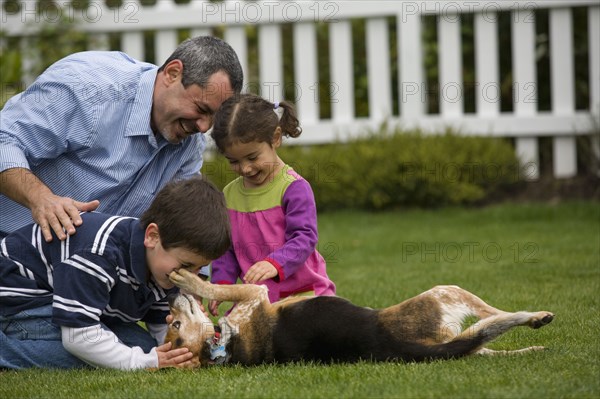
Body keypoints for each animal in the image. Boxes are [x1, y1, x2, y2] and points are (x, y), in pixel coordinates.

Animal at [164, 268, 552, 368]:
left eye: (174, 325)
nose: (170, 305)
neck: (226, 346)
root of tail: (397, 346)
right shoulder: (254, 295)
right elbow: (218, 288)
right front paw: (191, 280)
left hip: (450, 330)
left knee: (485, 344)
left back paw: (533, 348)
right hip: (444, 293)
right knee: (494, 318)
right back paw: (538, 318)